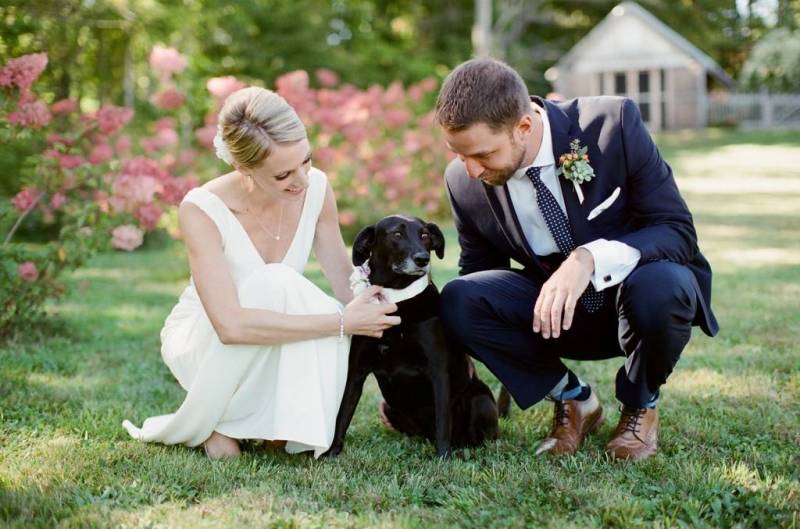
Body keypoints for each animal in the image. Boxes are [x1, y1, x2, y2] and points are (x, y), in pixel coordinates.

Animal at [324, 216, 500, 458]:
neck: (397, 300)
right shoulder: (356, 373)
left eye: (425, 235)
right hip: (388, 407)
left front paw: (443, 458)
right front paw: (332, 451)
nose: (423, 259)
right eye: (397, 234)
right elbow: (342, 415)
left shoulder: (438, 372)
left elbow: (443, 421)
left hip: (479, 400)